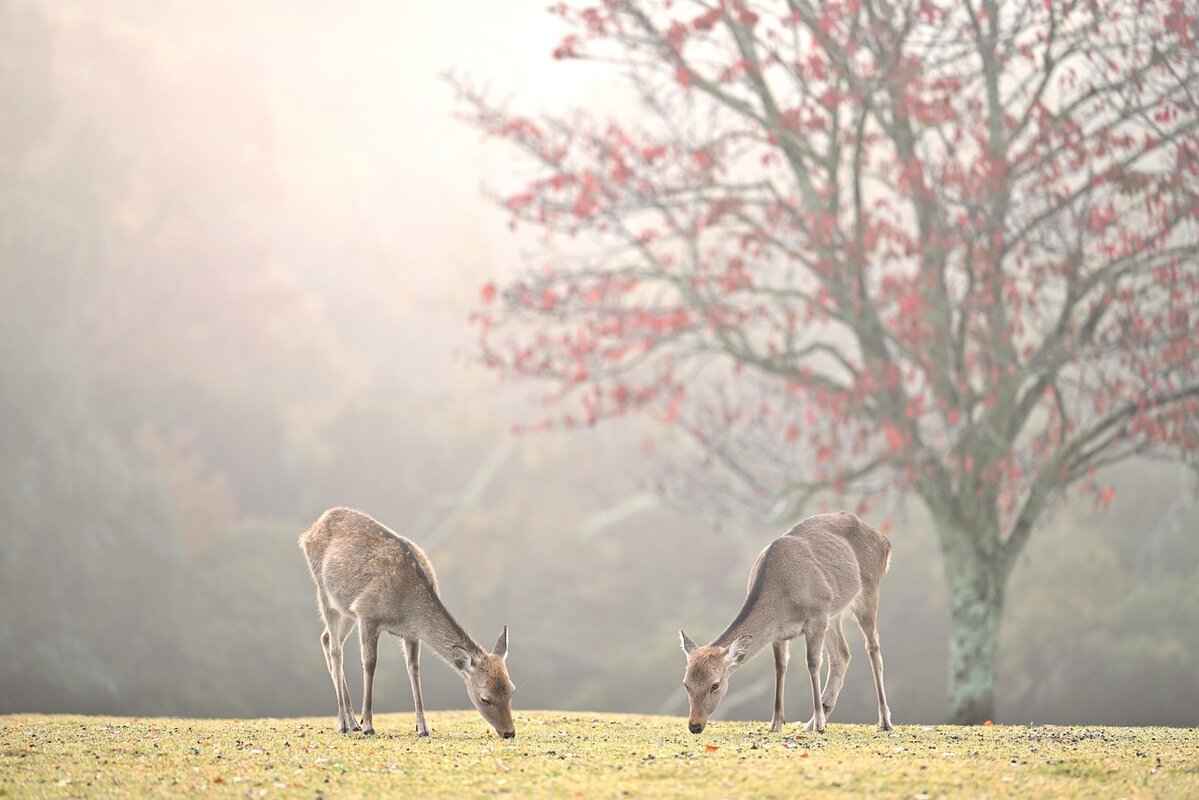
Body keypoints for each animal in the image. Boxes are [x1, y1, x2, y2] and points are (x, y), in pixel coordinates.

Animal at [299, 507, 516, 738]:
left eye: (511, 690)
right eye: (485, 698)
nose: (509, 733)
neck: (407, 608)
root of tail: (308, 533)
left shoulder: (411, 633)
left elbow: (414, 669)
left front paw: (422, 728)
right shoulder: (367, 614)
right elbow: (370, 663)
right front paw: (368, 725)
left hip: (346, 608)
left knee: (326, 638)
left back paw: (352, 721)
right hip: (324, 592)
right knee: (335, 650)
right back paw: (344, 723)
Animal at [678, 511, 893, 735]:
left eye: (715, 685)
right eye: (686, 684)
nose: (694, 725)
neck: (783, 598)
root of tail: (885, 542)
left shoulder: (816, 616)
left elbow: (812, 663)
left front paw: (819, 723)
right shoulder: (779, 633)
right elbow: (780, 668)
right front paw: (776, 723)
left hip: (868, 591)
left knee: (873, 648)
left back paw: (884, 721)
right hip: (834, 613)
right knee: (842, 654)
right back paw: (812, 721)